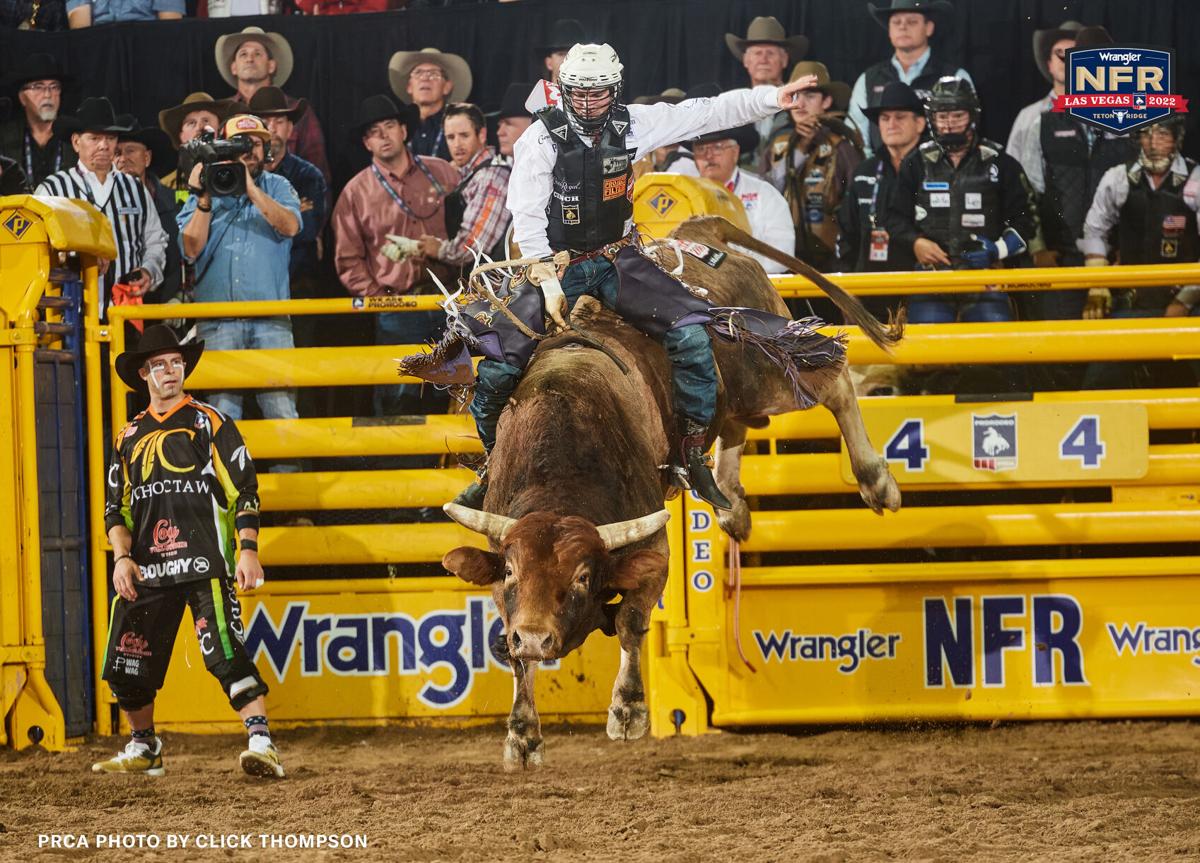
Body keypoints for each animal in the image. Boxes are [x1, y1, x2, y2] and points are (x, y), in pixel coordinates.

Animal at [440, 216, 902, 768]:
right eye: (511, 570)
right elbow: (512, 652)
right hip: (736, 396)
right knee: (729, 427)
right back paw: (730, 506)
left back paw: (876, 481)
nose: (535, 637)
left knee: (833, 382)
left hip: (764, 370)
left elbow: (631, 622)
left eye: (582, 575)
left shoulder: (652, 554)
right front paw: (521, 734)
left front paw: (628, 709)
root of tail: (699, 231)